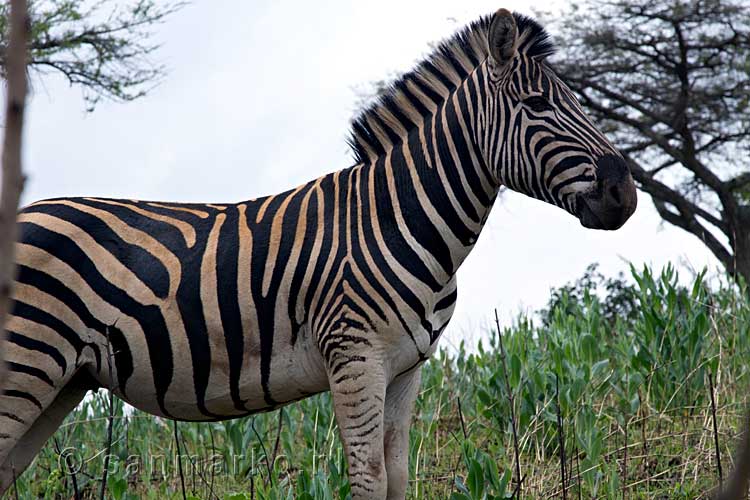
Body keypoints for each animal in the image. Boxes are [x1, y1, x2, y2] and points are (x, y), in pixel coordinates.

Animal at [0, 8, 636, 500]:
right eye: (536, 104)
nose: (625, 193)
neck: (397, 217)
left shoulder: (406, 369)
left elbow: (398, 480)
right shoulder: (355, 358)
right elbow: (368, 480)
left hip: (62, 379)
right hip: (26, 362)